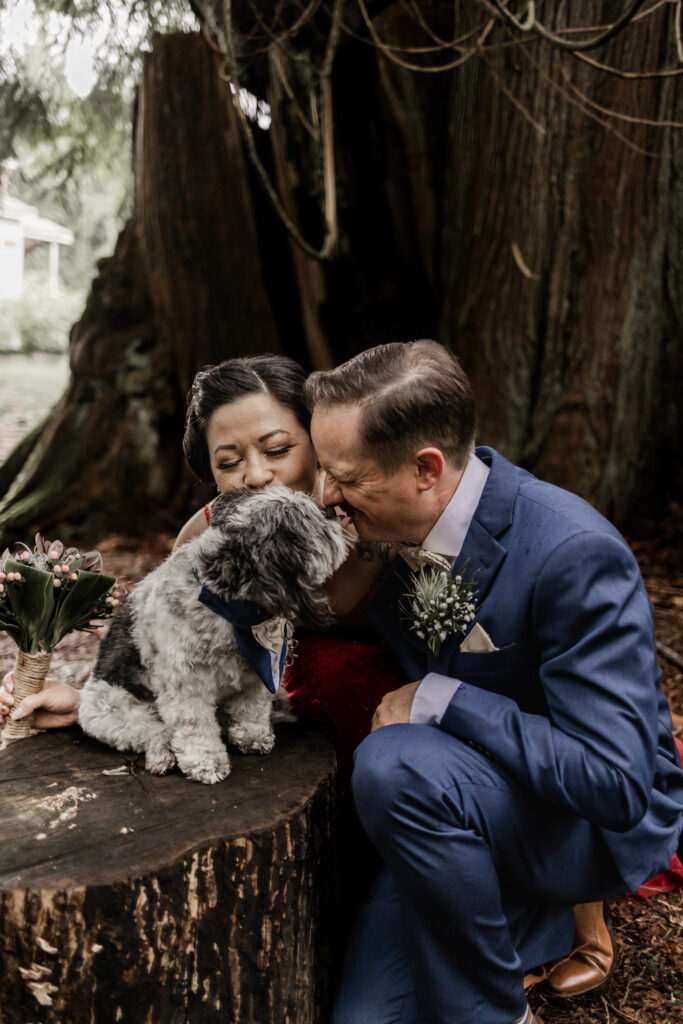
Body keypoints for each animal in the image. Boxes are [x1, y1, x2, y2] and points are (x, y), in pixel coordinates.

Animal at [78, 487, 350, 782]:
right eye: (316, 522)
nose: (332, 511)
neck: (231, 609)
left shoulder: (254, 675)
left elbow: (251, 708)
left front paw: (252, 737)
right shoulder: (186, 685)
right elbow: (195, 726)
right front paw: (206, 763)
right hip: (108, 710)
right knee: (156, 732)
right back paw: (162, 756)